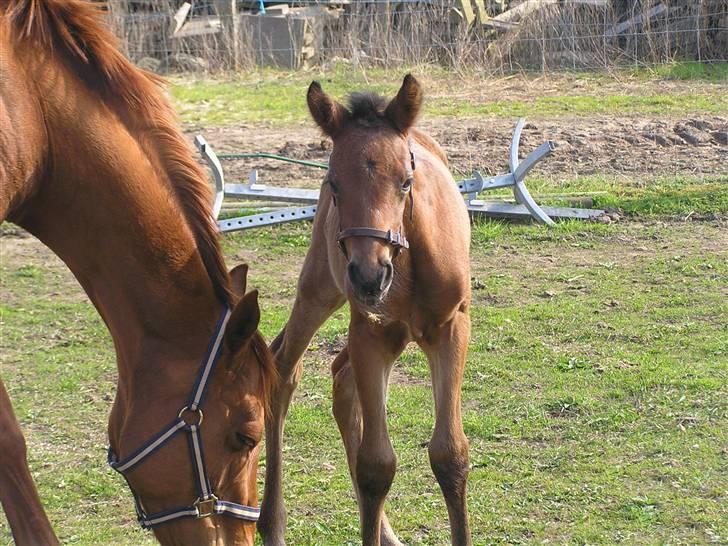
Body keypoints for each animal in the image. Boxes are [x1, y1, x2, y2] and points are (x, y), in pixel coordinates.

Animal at [260, 75, 472, 544]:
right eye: (334, 184)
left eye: (406, 181)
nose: (369, 274)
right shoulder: (370, 333)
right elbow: (377, 465)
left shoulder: (449, 327)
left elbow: (450, 455)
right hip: (321, 287)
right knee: (284, 364)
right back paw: (272, 524)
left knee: (340, 376)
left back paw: (386, 532)